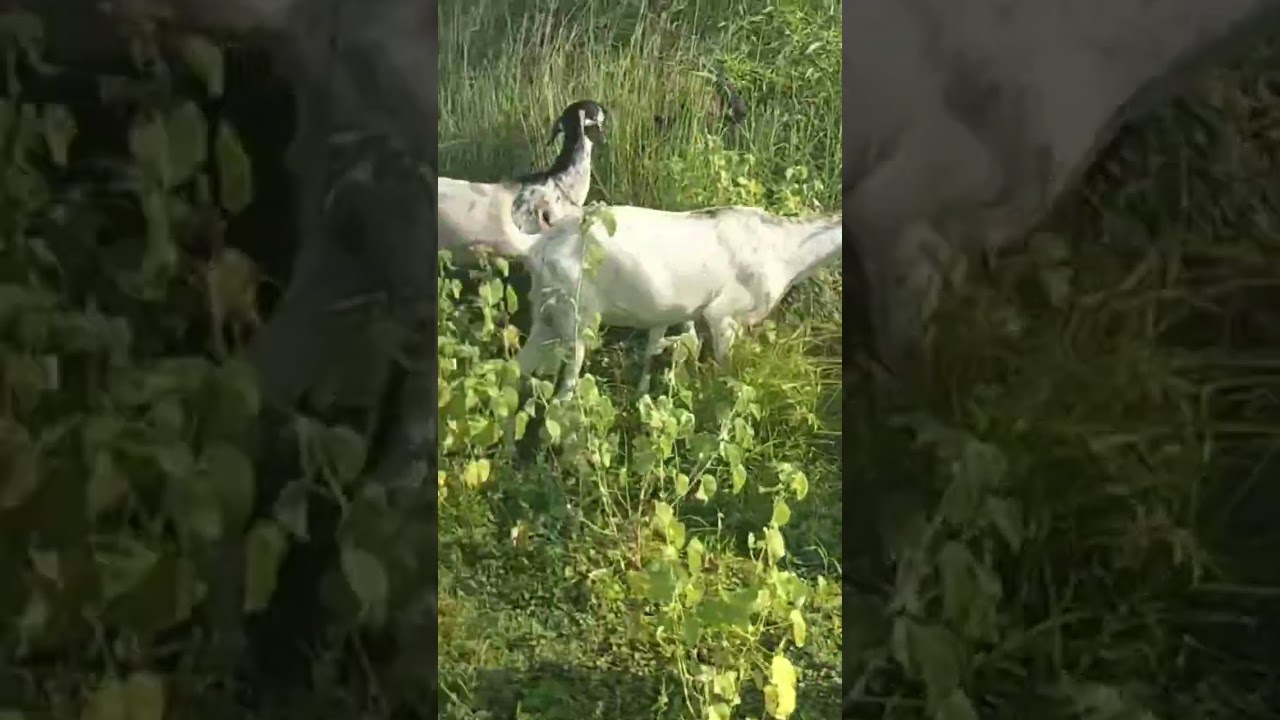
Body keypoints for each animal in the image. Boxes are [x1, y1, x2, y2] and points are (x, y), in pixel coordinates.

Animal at [510, 204, 842, 399]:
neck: (786, 251)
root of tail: (540, 245)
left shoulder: (683, 315)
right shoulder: (722, 314)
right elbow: (726, 372)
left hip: (545, 314)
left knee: (514, 370)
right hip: (577, 316)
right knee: (563, 392)